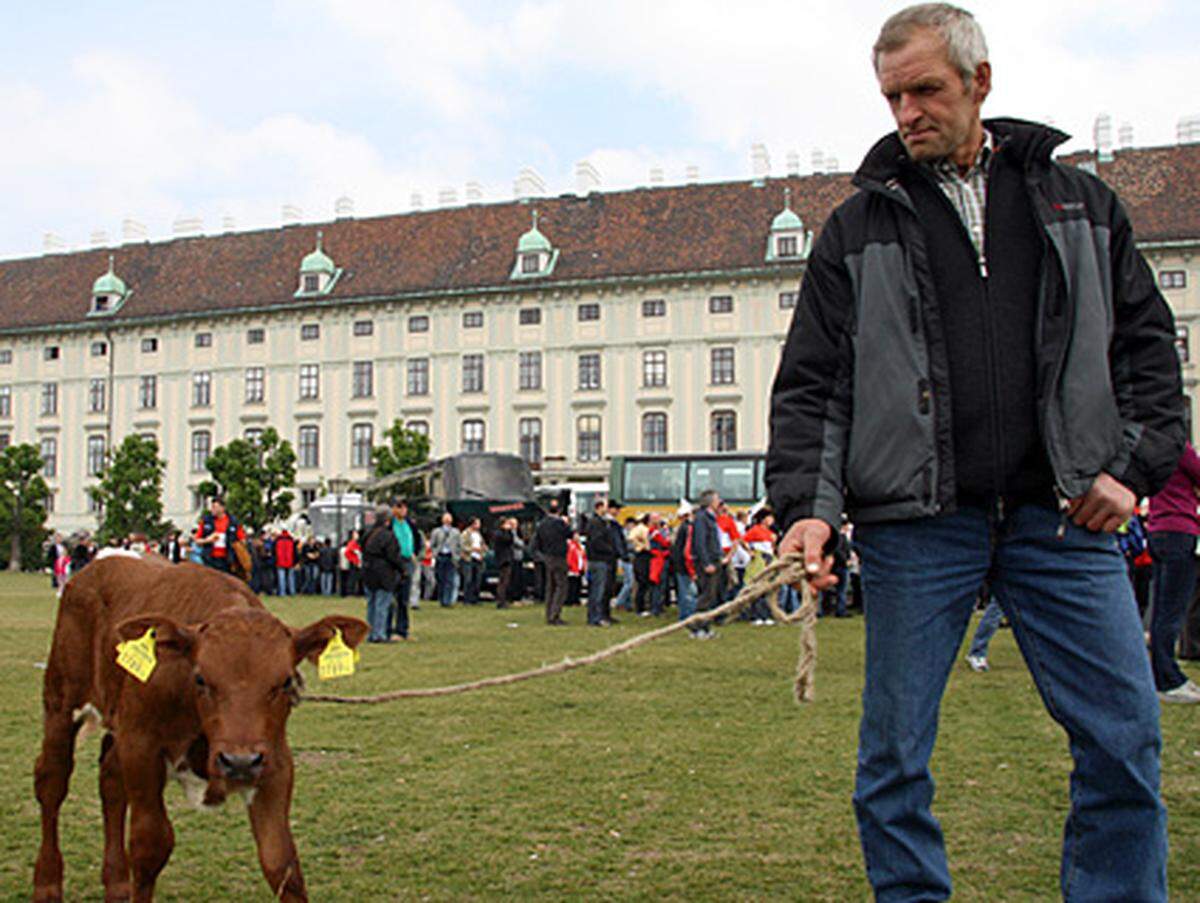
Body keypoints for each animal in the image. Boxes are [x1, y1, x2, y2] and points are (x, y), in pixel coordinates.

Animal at [35, 557, 367, 903]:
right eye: (200, 678)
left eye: (286, 681)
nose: (239, 762)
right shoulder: (141, 747)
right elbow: (150, 845)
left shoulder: (274, 760)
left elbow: (281, 862)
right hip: (61, 701)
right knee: (52, 781)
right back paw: (47, 885)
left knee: (110, 779)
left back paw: (116, 884)